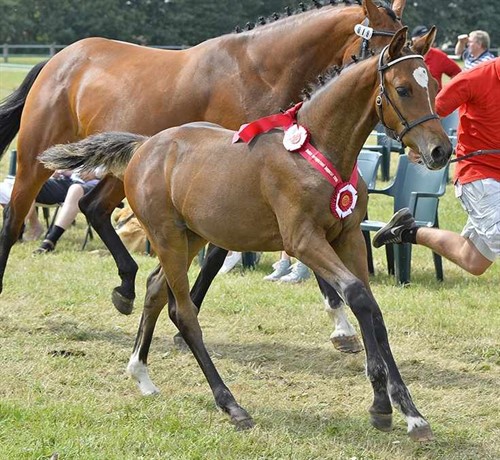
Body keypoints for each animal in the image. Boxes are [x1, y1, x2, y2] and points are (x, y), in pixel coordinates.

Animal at [0, 0, 404, 350]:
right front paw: (185, 319)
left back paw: (126, 287)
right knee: (14, 219)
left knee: (92, 207)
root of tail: (59, 58)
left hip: (126, 172)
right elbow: (218, 255)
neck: (257, 71)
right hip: (36, 161)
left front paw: (342, 326)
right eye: (384, 49)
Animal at [40, 27, 454, 440]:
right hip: (167, 237)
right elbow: (356, 295)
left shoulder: (348, 237)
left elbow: (370, 306)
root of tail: (145, 145)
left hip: (192, 236)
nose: (440, 150)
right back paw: (230, 404)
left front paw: (404, 411)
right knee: (183, 311)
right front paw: (389, 405)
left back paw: (141, 373)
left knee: (157, 289)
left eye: (435, 84)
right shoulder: (303, 240)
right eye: (402, 88)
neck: (317, 151)